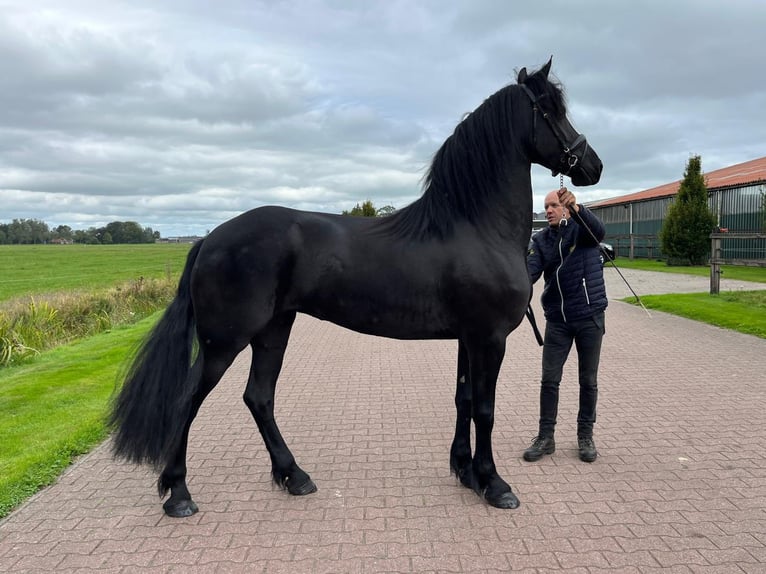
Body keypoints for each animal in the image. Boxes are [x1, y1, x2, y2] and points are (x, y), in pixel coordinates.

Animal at [109, 58, 602, 517]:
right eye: (553, 110)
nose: (593, 166)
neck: (473, 226)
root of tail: (209, 239)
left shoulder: (468, 338)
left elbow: (463, 400)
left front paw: (465, 472)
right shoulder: (489, 338)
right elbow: (484, 408)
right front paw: (494, 484)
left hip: (273, 329)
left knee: (258, 397)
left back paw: (294, 476)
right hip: (224, 341)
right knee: (188, 400)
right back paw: (178, 494)